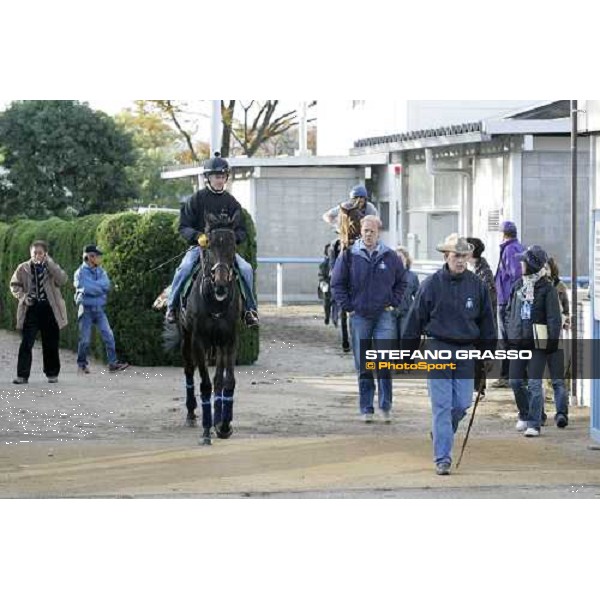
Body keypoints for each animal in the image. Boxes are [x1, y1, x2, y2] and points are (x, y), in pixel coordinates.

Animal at [164, 211, 241, 446]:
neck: (216, 302)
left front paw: (223, 425)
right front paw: (207, 431)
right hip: (187, 338)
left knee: (218, 380)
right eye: (209, 245)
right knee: (189, 370)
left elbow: (226, 381)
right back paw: (191, 414)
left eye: (233, 244)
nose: (221, 284)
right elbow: (205, 385)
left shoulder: (229, 340)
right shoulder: (199, 341)